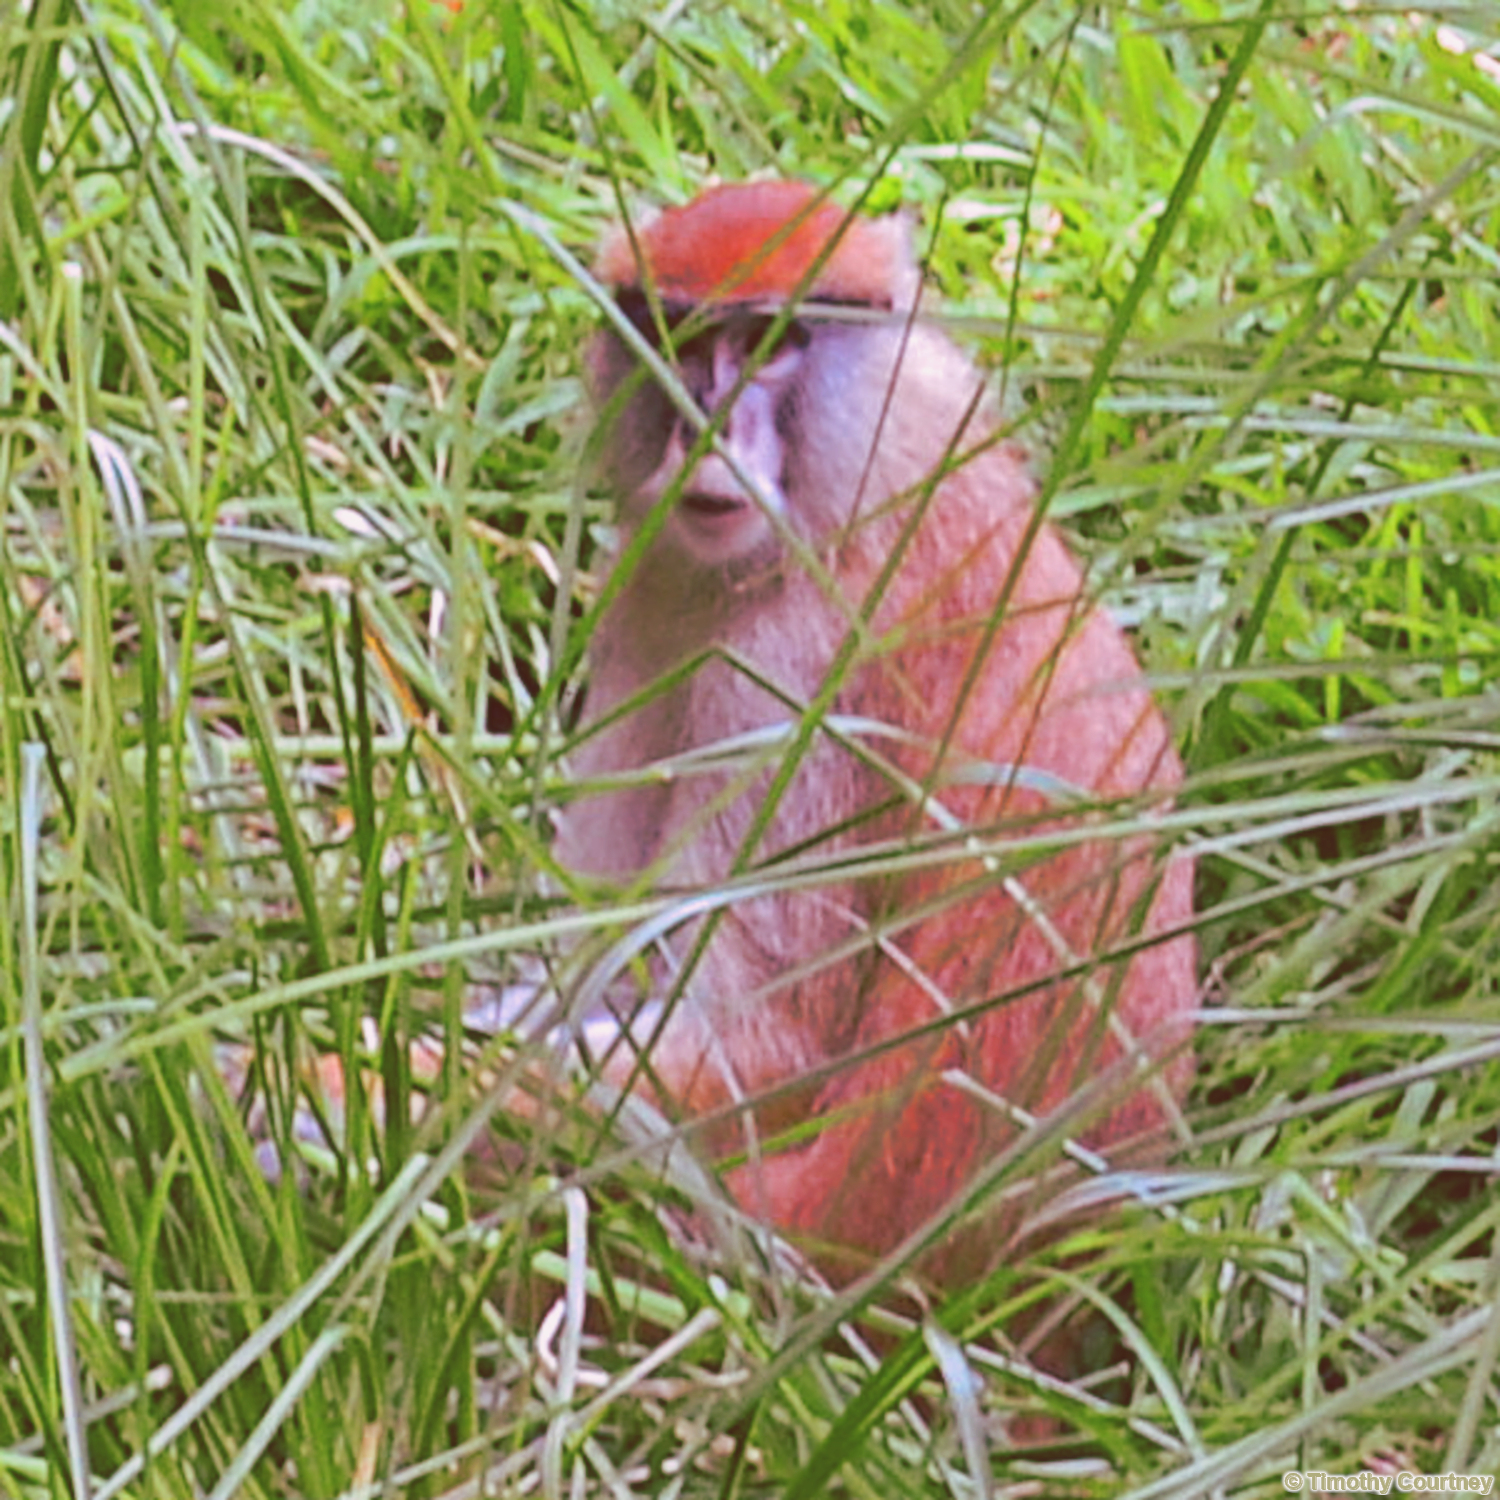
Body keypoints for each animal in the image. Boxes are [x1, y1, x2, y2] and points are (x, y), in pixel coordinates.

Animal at [555, 180, 1197, 1285]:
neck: (870, 477)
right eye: (679, 336)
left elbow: (758, 1050)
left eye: (770, 342)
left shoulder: (798, 661)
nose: (706, 432)